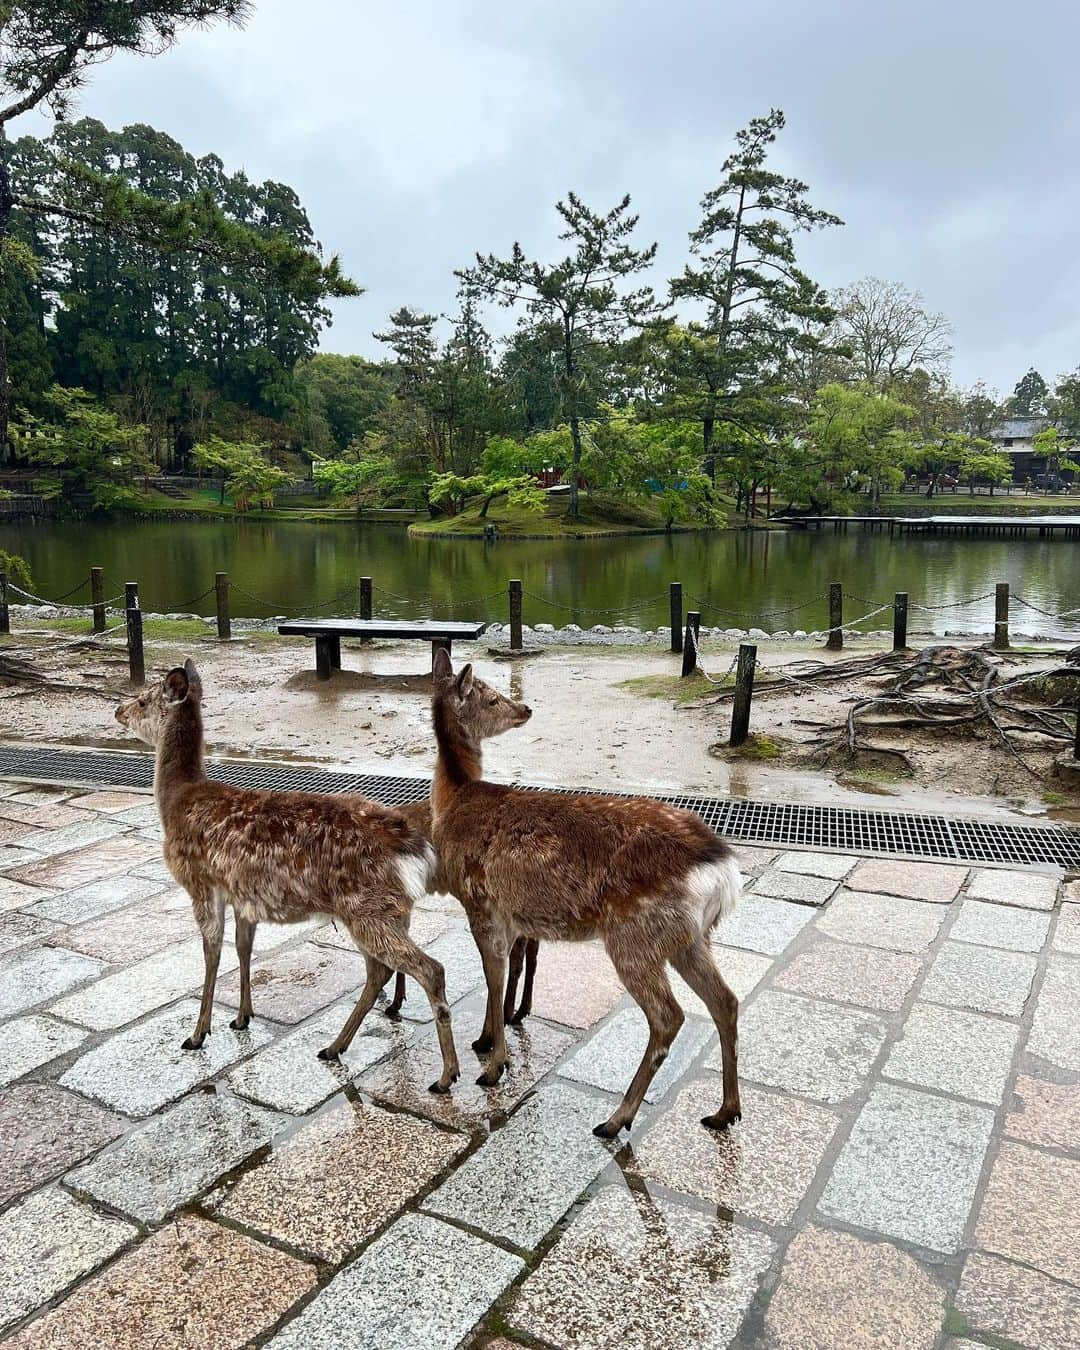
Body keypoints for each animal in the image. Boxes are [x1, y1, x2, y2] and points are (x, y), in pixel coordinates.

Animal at [114, 664, 459, 1096]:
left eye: (144, 700)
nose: (117, 710)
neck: (178, 800)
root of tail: (416, 848)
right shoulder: (240, 894)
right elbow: (243, 948)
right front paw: (242, 1017)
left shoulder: (201, 883)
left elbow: (212, 953)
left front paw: (197, 1034)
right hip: (384, 910)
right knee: (379, 971)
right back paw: (336, 1046)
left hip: (368, 908)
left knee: (428, 969)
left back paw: (446, 1075)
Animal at [386, 799, 540, 1020]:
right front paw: (395, 1000)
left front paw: (394, 1001)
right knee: (531, 951)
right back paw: (521, 1010)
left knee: (518, 954)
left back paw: (508, 1012)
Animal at [429, 648, 745, 1134]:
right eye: (492, 697)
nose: (525, 708)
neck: (452, 801)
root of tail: (722, 866)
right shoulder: (506, 915)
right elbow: (498, 976)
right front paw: (485, 1042)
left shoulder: (479, 902)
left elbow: (494, 976)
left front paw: (493, 1066)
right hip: (689, 937)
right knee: (725, 1001)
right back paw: (725, 1111)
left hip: (636, 934)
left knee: (668, 1016)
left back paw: (616, 1119)